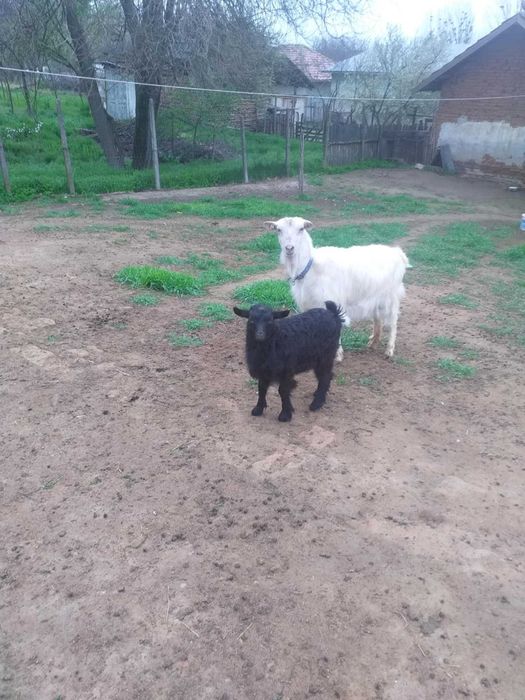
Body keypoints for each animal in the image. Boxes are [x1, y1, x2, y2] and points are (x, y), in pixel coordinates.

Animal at [265, 216, 409, 361]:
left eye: (301, 228)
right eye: (278, 230)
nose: (289, 248)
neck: (310, 267)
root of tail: (397, 253)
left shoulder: (332, 303)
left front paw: (337, 355)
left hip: (391, 297)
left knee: (393, 321)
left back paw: (389, 350)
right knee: (377, 319)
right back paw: (373, 342)